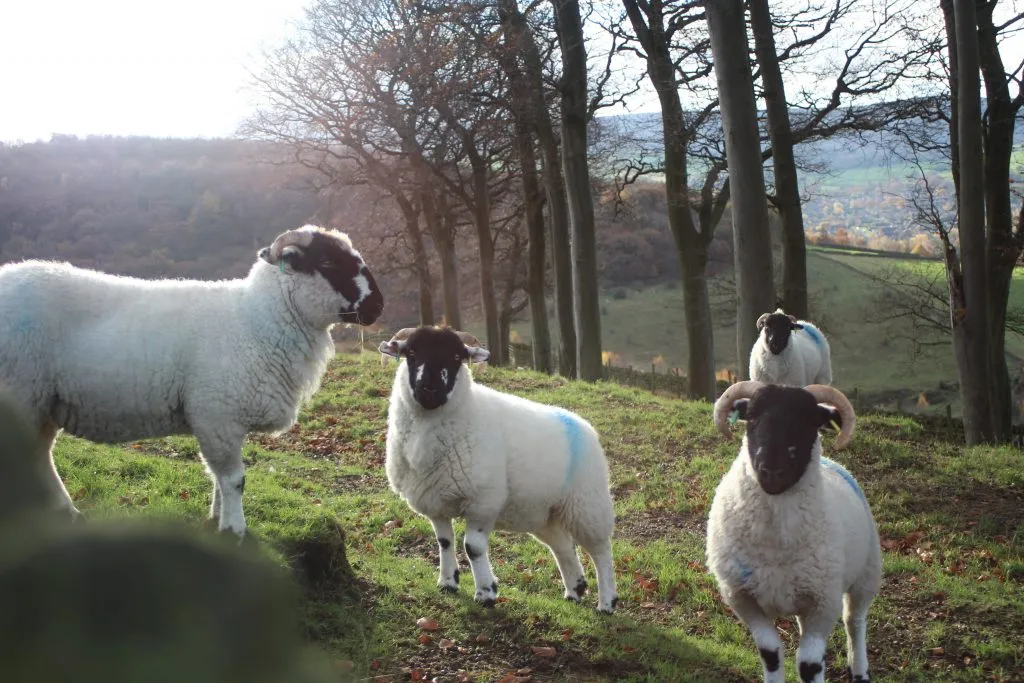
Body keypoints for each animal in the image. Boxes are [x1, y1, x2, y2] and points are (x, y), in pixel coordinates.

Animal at [0, 225, 384, 539]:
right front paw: (235, 531)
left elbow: (217, 478)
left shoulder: (219, 419)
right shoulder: (217, 415)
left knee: (39, 456)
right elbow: (234, 479)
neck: (256, 319)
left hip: (42, 401)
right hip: (20, 392)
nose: (378, 306)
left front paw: (215, 521)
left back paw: (67, 513)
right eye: (328, 262)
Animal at [378, 325, 618, 613]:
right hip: (544, 512)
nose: (430, 390)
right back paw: (575, 589)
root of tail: (583, 424)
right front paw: (447, 582)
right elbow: (444, 542)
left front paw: (486, 593)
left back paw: (607, 602)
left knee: (601, 552)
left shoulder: (483, 501)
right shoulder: (435, 501)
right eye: (411, 353)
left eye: (457, 357)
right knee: (563, 546)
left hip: (587, 505)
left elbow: (473, 548)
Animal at [706, 380, 881, 683]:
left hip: (865, 575)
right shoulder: (742, 598)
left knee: (855, 623)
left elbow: (809, 665)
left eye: (808, 421)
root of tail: (833, 463)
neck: (775, 547)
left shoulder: (824, 602)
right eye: (752, 417)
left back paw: (860, 671)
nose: (771, 470)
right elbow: (770, 652)